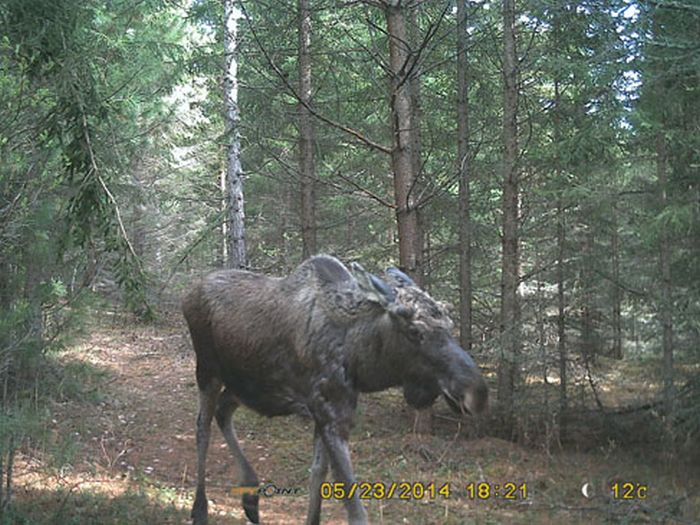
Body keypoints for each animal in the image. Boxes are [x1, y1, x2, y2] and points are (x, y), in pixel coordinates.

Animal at [180, 253, 486, 520]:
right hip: (207, 371)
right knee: (202, 427)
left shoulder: (324, 414)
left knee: (223, 412)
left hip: (245, 386)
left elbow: (317, 475)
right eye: (414, 331)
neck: (358, 359)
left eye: (449, 322)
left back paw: (250, 497)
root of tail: (188, 293)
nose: (477, 394)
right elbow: (354, 508)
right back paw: (200, 509)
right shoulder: (332, 415)